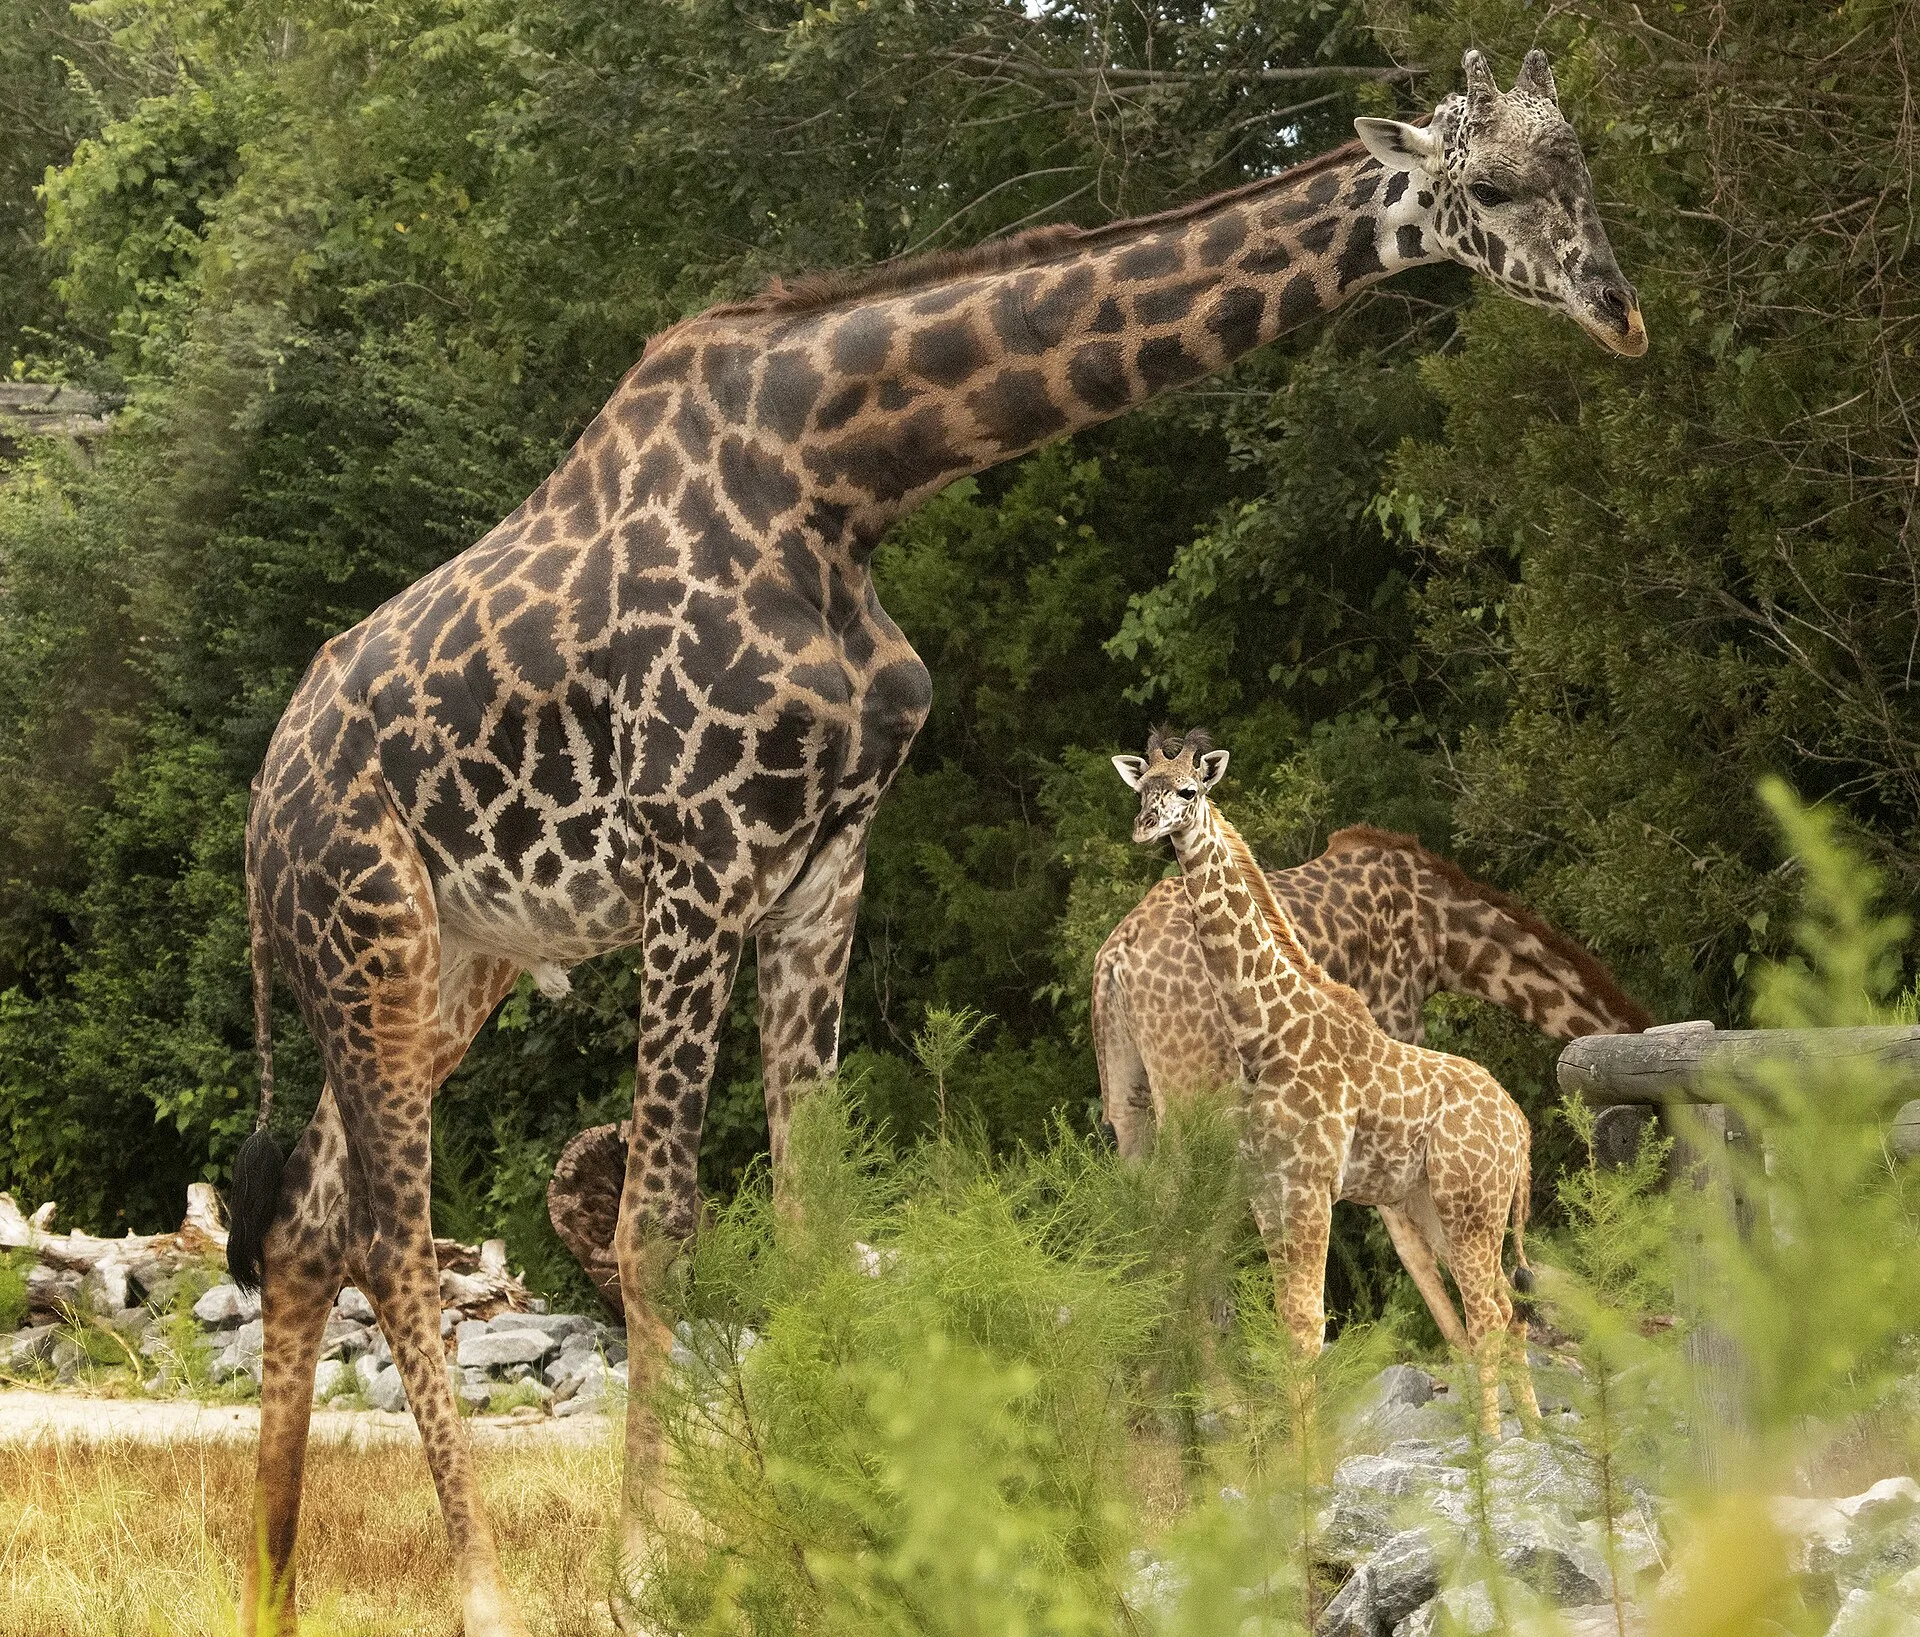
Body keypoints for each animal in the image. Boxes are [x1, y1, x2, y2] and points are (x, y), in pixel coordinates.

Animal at [1092, 825, 1649, 1347]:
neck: (1446, 932)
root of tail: (1113, 961)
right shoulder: (1395, 1029)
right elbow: (1407, 1237)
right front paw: (1463, 1352)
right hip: (1191, 1095)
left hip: (1129, 1098)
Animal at [1113, 730, 1540, 1437]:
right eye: (1142, 788)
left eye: (1189, 791)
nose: (1147, 827)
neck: (1266, 1032)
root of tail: (1521, 1128)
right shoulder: (1267, 1190)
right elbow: (1290, 1329)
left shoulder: (1311, 1185)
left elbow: (1310, 1330)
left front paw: (1309, 1461)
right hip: (1440, 1202)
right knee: (1507, 1307)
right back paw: (1532, 1436)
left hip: (1470, 1202)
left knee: (1490, 1312)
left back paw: (1493, 1441)